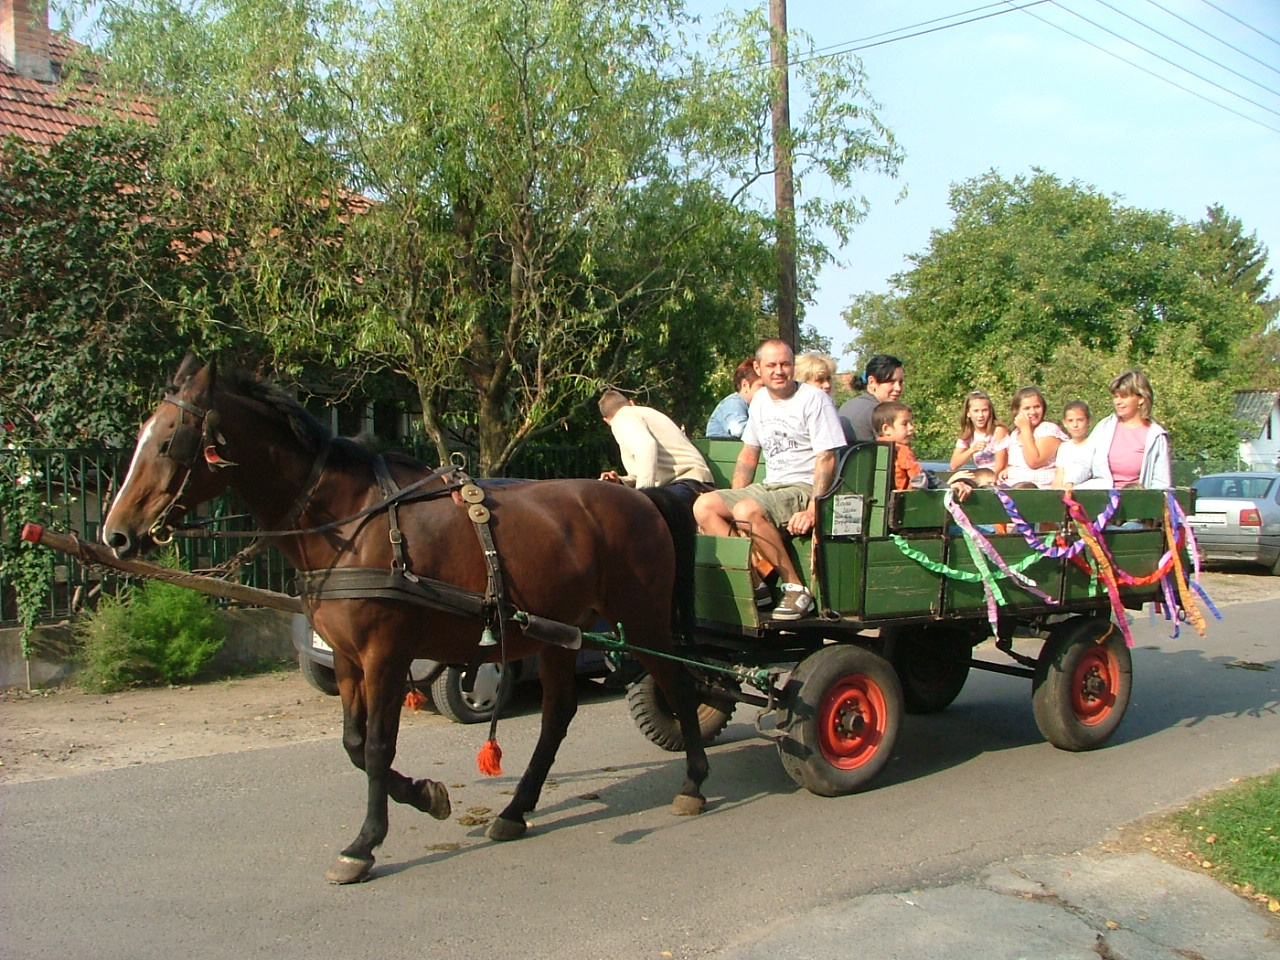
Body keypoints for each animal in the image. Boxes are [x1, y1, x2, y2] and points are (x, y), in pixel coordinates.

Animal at [102, 360, 711, 885]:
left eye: (167, 441)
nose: (116, 535)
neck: (350, 522)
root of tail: (644, 499)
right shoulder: (347, 659)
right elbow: (353, 743)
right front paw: (425, 795)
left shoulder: (385, 656)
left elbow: (376, 747)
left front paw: (364, 843)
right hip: (558, 632)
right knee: (557, 715)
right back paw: (516, 811)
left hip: (643, 620)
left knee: (680, 685)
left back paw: (694, 781)